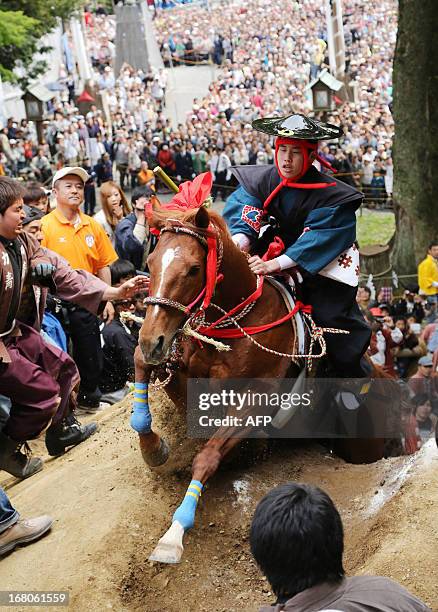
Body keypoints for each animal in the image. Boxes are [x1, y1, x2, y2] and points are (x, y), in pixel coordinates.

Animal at [133, 203, 384, 560]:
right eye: (151, 263)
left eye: (194, 269)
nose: (151, 339)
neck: (238, 322)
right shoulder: (182, 373)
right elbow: (142, 367)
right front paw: (153, 448)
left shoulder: (255, 401)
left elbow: (206, 458)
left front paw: (174, 533)